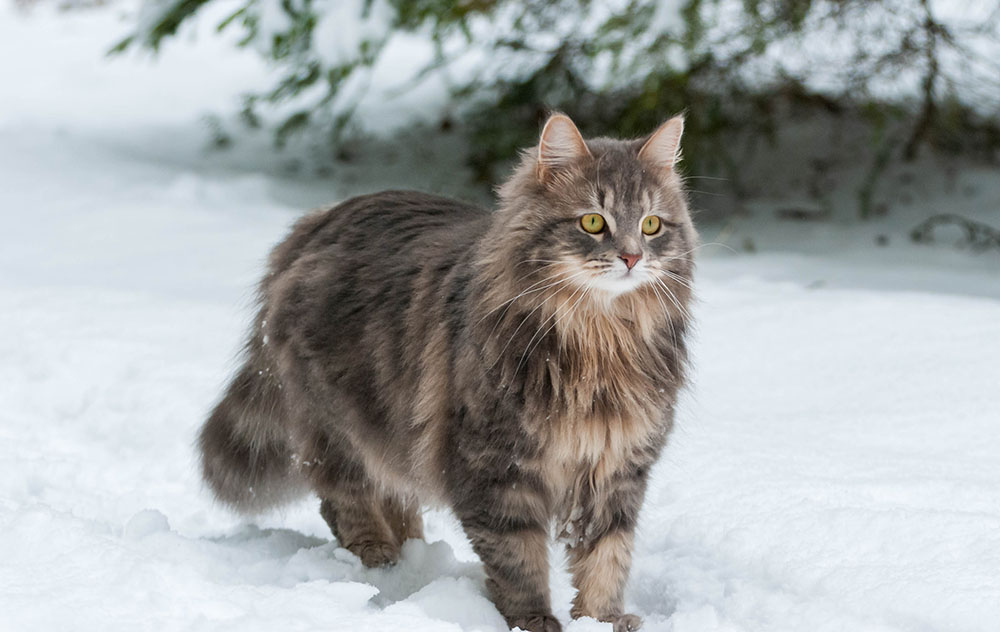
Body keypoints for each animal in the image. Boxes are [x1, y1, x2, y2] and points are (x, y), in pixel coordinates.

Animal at [196, 113, 696, 632]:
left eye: (652, 225)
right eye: (593, 222)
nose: (633, 257)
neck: (598, 339)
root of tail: (313, 225)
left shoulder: (617, 468)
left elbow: (606, 555)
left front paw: (601, 620)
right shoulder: (495, 470)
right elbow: (518, 560)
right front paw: (534, 620)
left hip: (392, 427)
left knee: (395, 495)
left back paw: (411, 555)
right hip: (337, 423)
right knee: (345, 498)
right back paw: (380, 560)